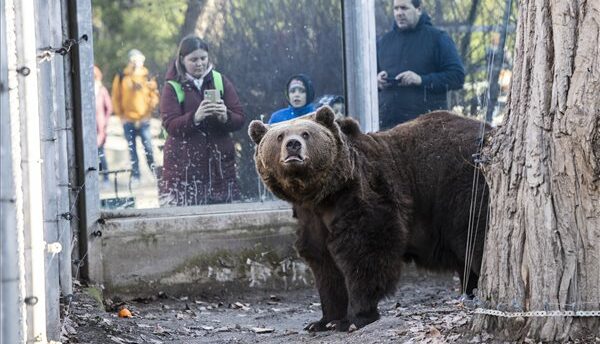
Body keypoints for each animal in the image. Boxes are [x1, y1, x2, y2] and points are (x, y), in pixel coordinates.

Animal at [248, 106, 488, 332]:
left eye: (306, 133)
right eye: (280, 136)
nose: (293, 145)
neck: (321, 195)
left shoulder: (361, 195)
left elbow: (365, 253)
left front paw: (353, 319)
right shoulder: (311, 218)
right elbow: (324, 265)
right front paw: (323, 321)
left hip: (461, 186)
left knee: (477, 239)